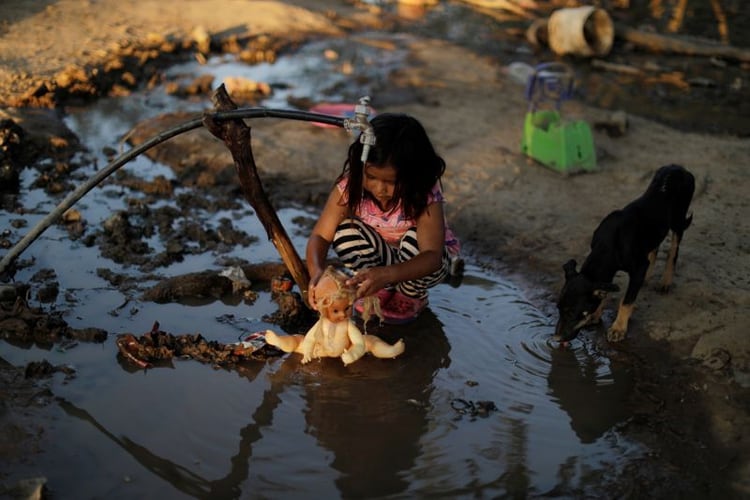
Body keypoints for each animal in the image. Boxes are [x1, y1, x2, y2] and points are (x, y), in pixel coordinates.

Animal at [556, 164, 696, 344]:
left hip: (678, 219)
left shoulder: (638, 267)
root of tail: (680, 168)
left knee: (673, 251)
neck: (608, 245)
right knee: (654, 247)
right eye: (558, 308)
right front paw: (596, 314)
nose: (556, 338)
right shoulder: (610, 271)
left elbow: (626, 301)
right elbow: (605, 289)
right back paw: (648, 276)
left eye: (573, 313)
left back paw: (665, 281)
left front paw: (618, 328)